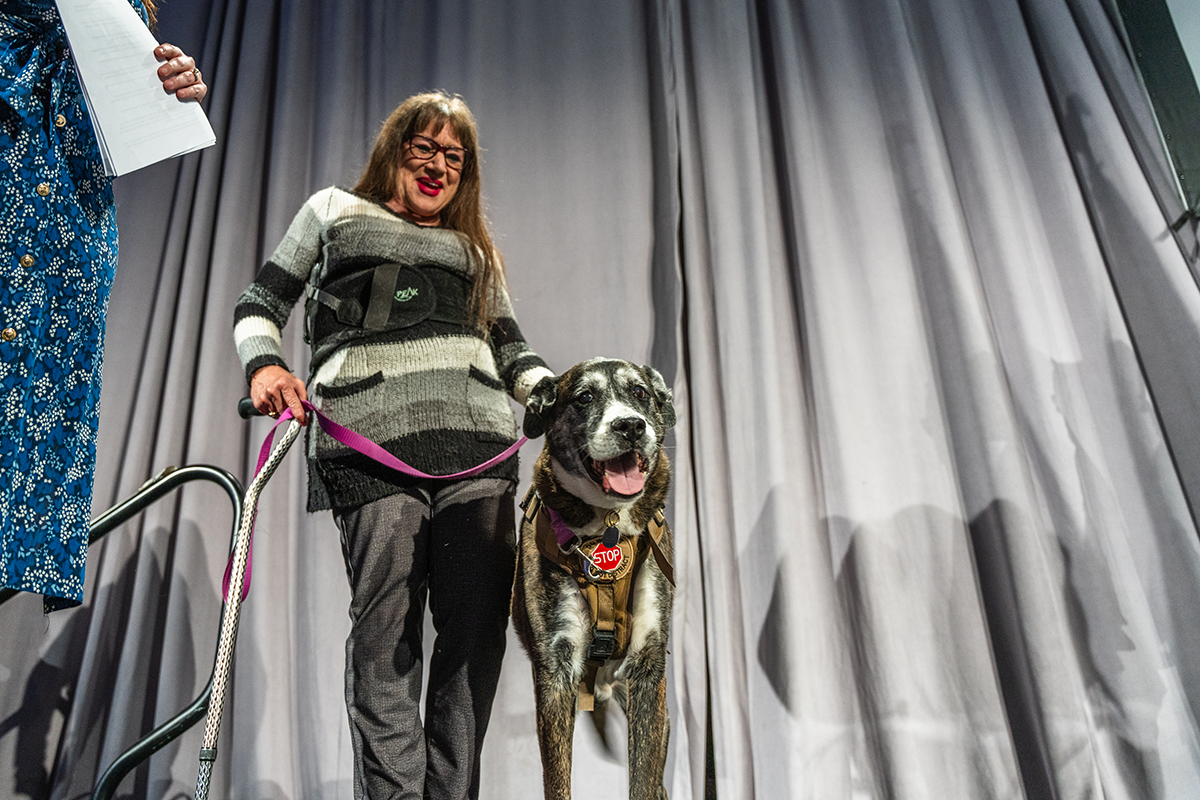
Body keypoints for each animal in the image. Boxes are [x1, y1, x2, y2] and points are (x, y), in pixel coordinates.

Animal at [506, 359, 676, 796]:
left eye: (640, 392)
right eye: (584, 397)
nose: (630, 426)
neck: (608, 522)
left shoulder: (648, 668)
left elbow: (644, 781)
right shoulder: (555, 669)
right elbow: (557, 781)